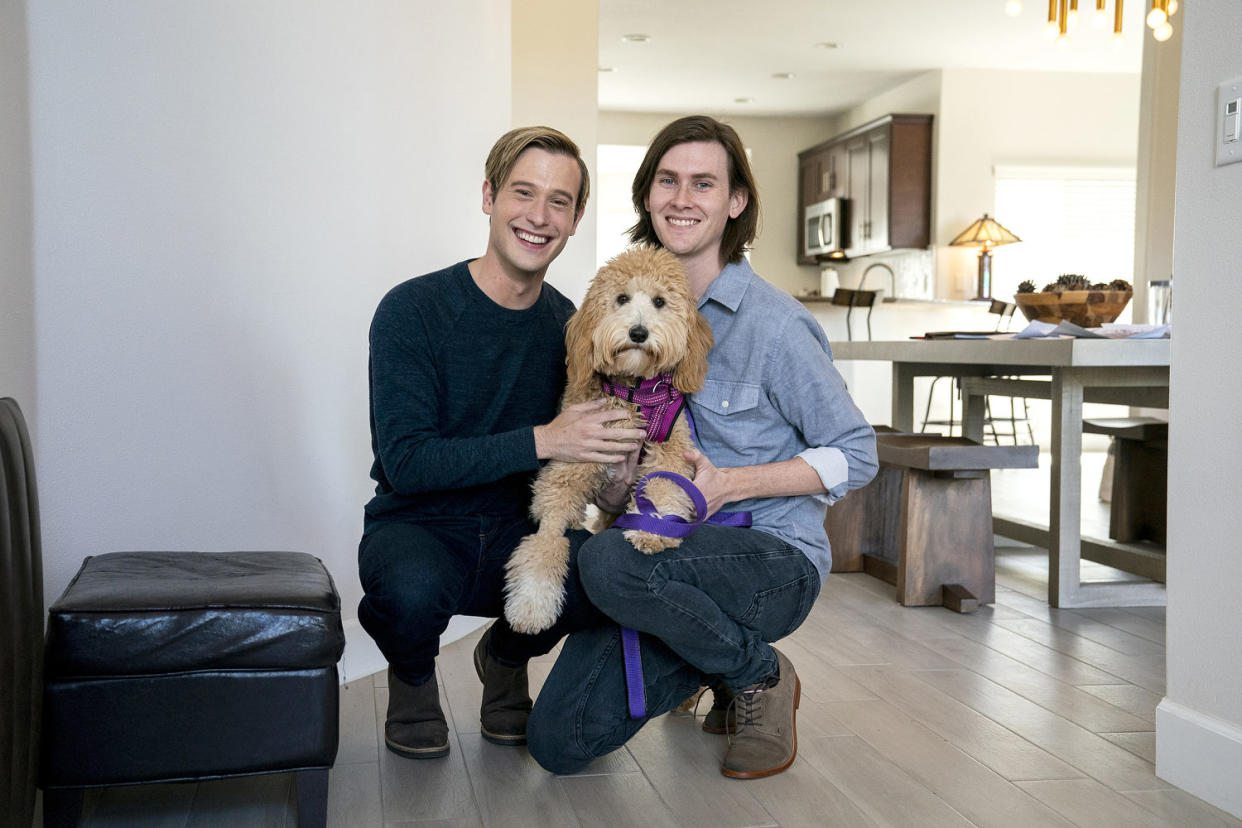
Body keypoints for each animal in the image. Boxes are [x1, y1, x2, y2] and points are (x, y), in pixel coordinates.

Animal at [501, 245, 715, 635]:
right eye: (621, 299)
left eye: (660, 301)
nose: (639, 332)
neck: (633, 393)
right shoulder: (568, 468)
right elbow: (546, 539)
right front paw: (532, 605)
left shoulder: (671, 452)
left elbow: (663, 485)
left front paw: (653, 529)